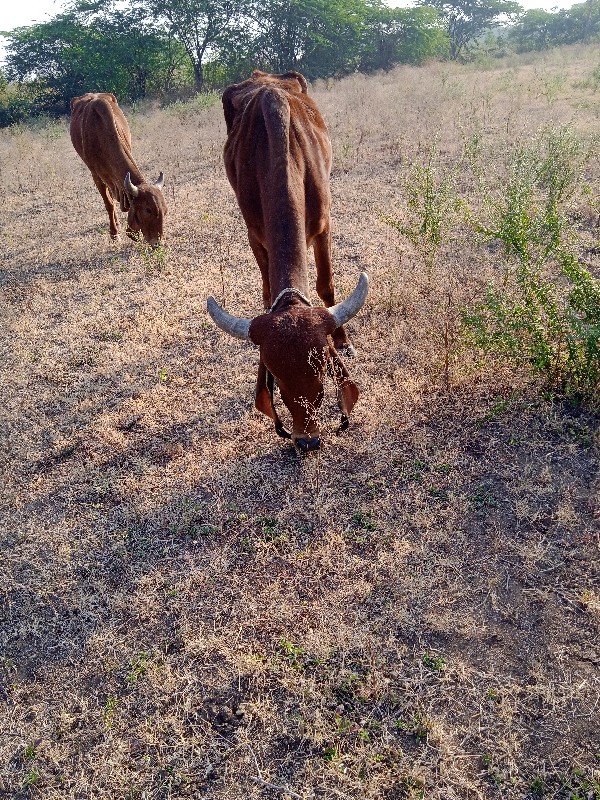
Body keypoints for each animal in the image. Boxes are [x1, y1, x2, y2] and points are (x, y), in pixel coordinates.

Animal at [71, 92, 168, 245]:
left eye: (165, 210)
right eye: (148, 210)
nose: (157, 243)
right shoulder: (96, 175)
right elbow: (109, 204)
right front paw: (114, 234)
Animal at [206, 72, 368, 454]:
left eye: (322, 368)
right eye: (276, 377)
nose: (307, 439)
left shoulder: (324, 225)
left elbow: (327, 286)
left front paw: (344, 339)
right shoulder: (255, 235)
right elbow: (267, 292)